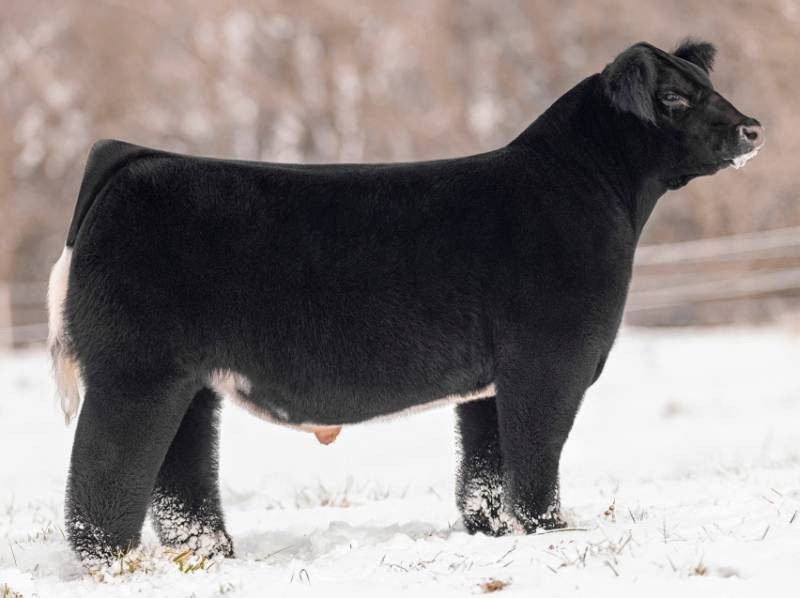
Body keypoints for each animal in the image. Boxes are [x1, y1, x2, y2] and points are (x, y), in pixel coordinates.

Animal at [47, 39, 764, 567]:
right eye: (674, 97)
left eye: (709, 85)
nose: (751, 127)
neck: (589, 190)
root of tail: (133, 157)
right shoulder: (551, 360)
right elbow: (535, 455)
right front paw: (552, 533)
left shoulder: (491, 380)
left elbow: (484, 467)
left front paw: (493, 534)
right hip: (135, 375)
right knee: (102, 476)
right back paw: (116, 566)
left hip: (188, 384)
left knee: (180, 476)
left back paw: (212, 556)